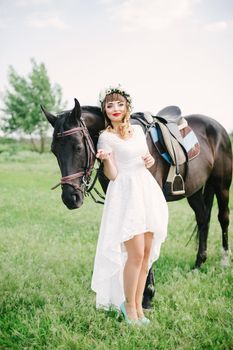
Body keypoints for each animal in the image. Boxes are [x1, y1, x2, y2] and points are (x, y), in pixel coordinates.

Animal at [41, 98, 231, 308]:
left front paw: (147, 296)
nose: (70, 197)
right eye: (54, 151)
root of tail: (217, 127)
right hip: (195, 190)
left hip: (222, 185)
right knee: (203, 219)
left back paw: (224, 261)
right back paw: (198, 264)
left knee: (223, 218)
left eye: (78, 147)